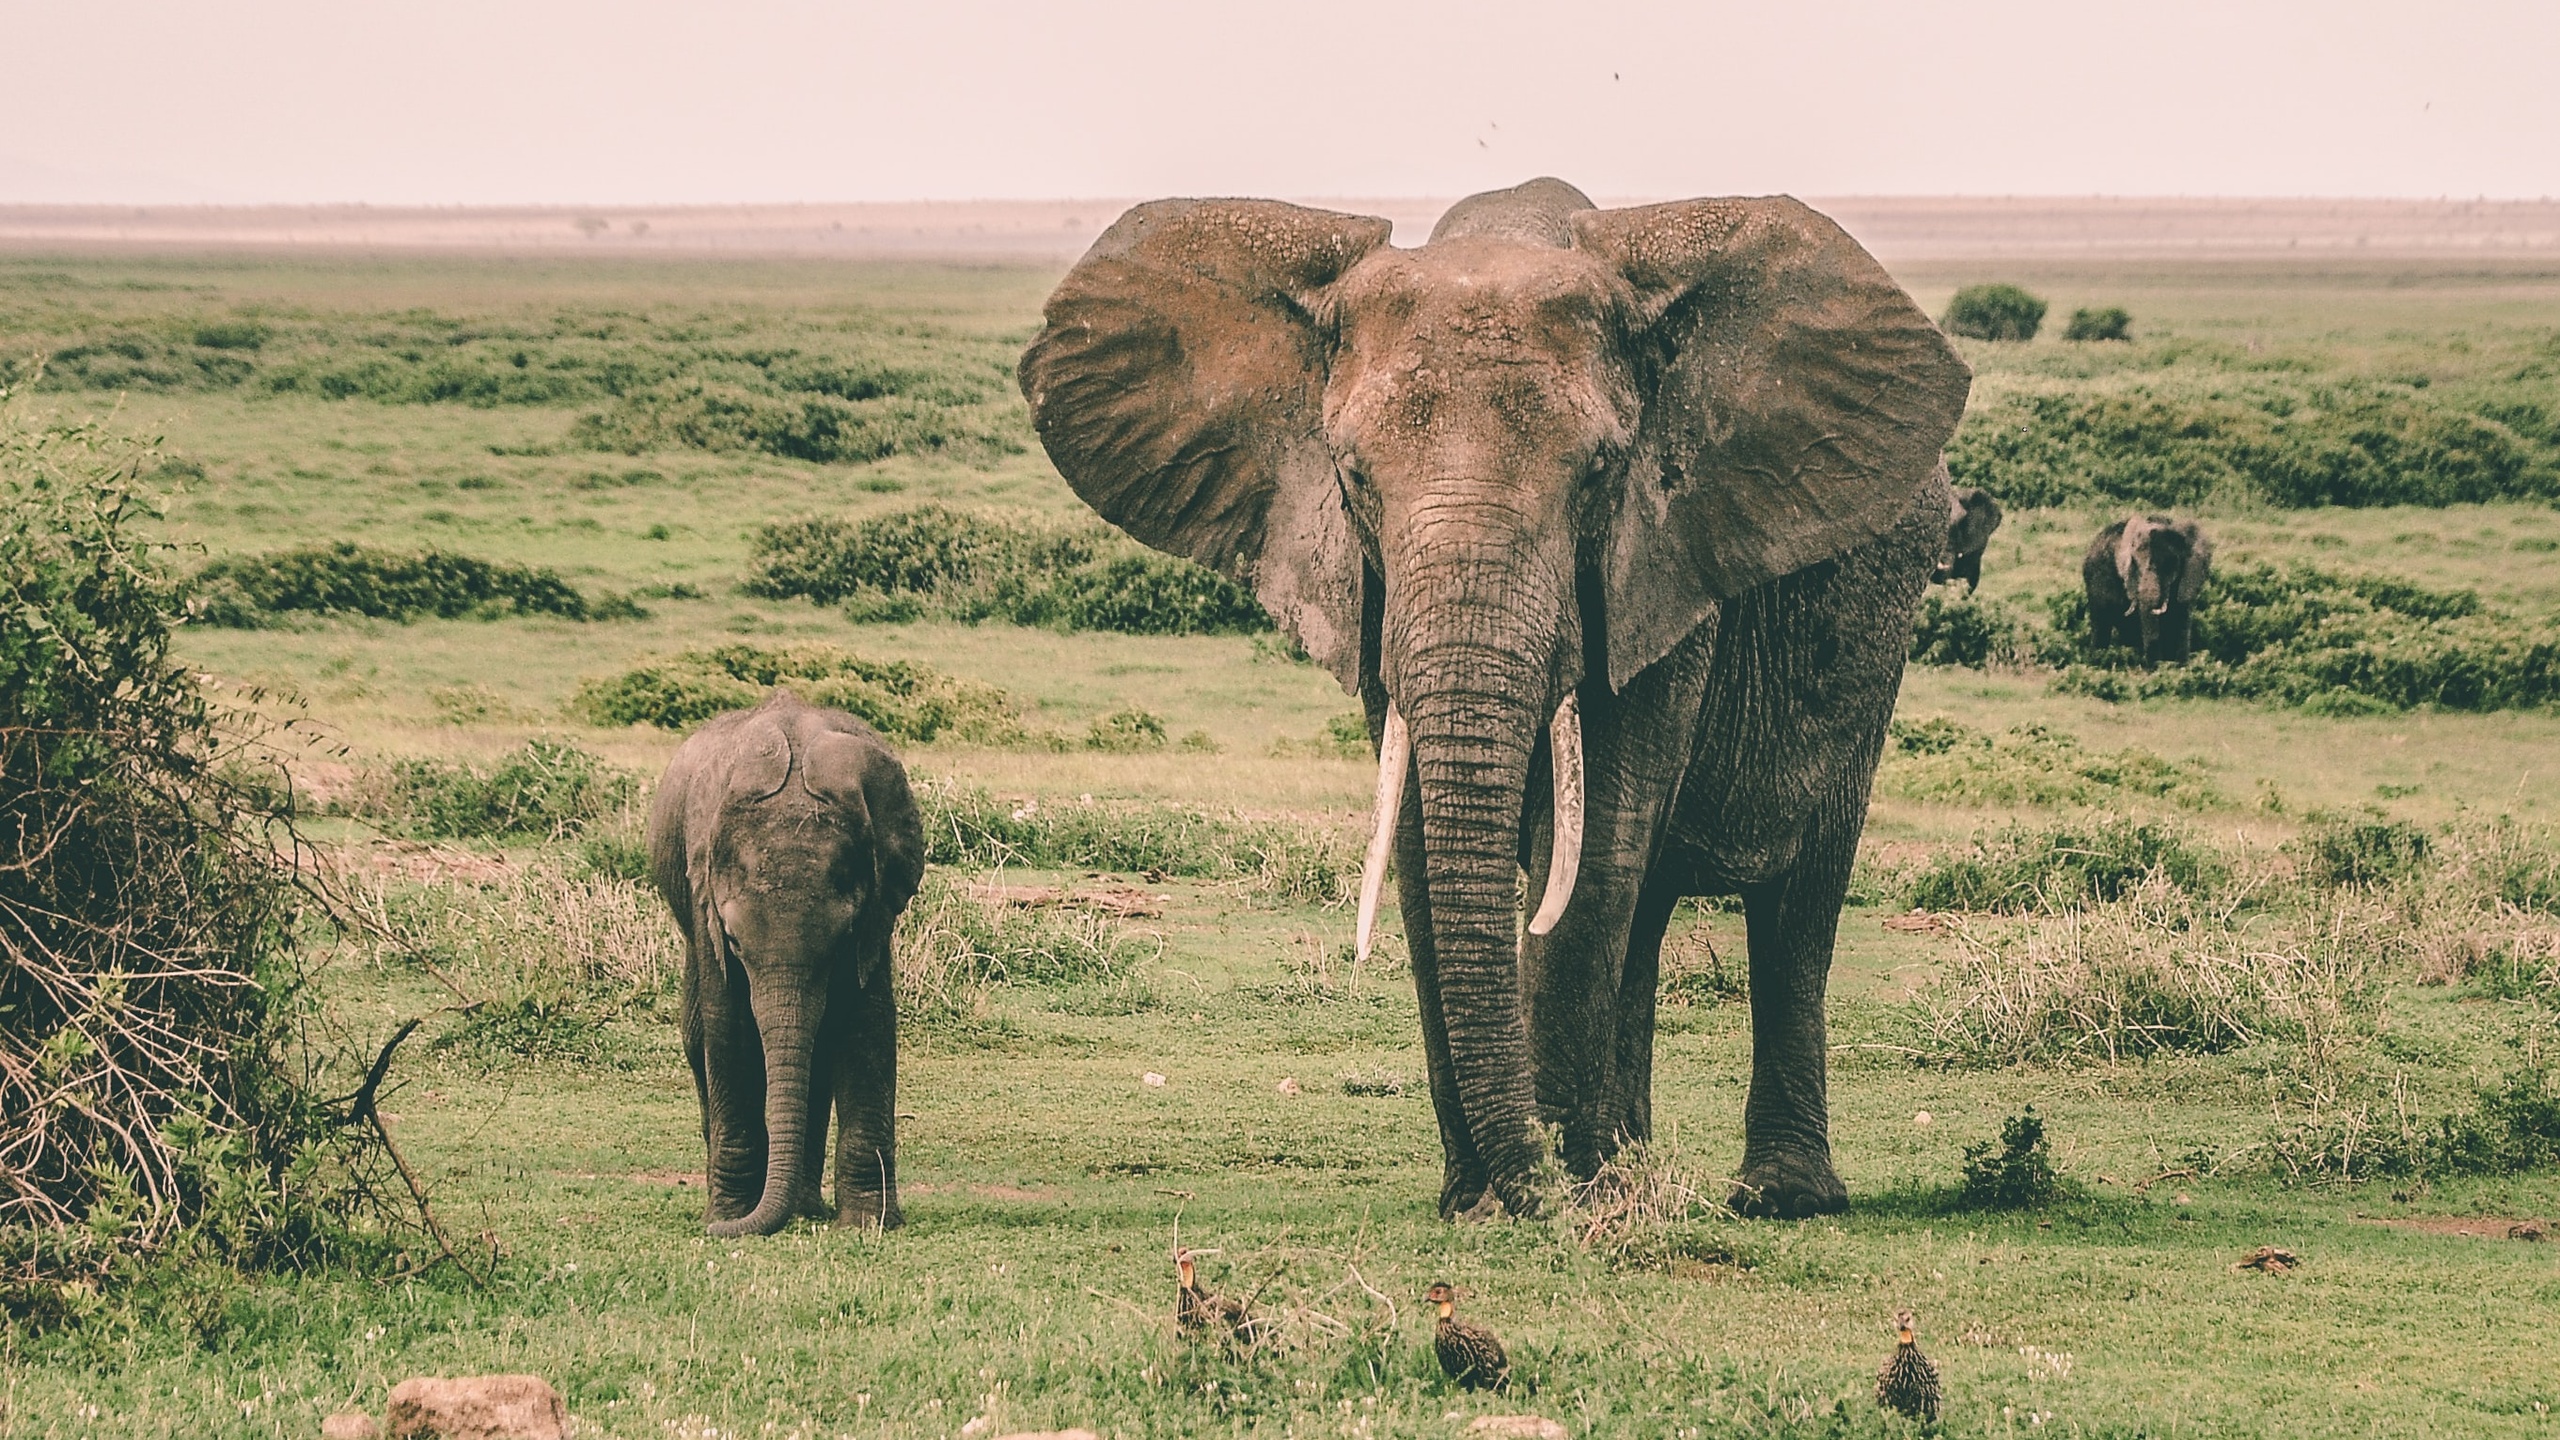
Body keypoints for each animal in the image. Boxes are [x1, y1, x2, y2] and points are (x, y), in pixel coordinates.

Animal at [645, 691, 926, 1229]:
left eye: (841, 941)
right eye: (734, 943)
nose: (720, 1229)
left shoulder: (876, 906)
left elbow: (867, 1026)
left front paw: (869, 1224)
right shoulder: (705, 897)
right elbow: (728, 1028)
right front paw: (728, 1216)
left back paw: (805, 1209)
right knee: (698, 1038)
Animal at [1008, 176, 1966, 1209]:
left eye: (1599, 473)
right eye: (1352, 477)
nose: (1523, 1184)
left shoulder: (1658, 572)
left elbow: (1592, 860)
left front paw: (1556, 1201)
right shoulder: (1377, 601)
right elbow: (1425, 852)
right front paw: (1487, 1201)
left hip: (1875, 645)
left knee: (1794, 905)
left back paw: (1772, 1195)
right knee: (1651, 911)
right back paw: (1626, 1168)